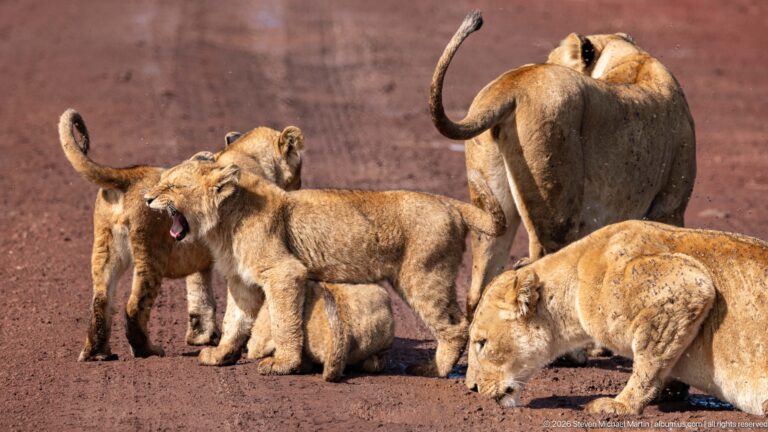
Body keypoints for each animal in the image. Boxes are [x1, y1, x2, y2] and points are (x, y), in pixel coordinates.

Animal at [59, 109, 303, 361]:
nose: (299, 186)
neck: (245, 153)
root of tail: (130, 175)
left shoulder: (200, 253)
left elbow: (200, 294)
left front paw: (202, 337)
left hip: (104, 248)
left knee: (101, 299)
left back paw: (97, 354)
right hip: (150, 254)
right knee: (134, 306)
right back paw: (147, 350)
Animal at [429, 11, 696, 320]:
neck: (632, 58)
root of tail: (513, 84)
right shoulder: (670, 208)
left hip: (492, 210)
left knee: (478, 288)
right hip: (555, 210)